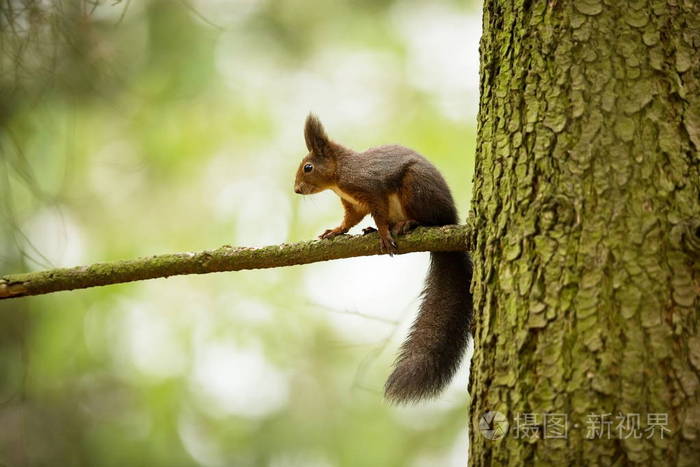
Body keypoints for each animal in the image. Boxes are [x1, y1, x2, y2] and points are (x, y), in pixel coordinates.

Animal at [292, 115, 474, 404]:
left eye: (308, 167)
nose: (297, 189)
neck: (340, 175)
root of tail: (451, 219)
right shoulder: (354, 204)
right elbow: (350, 220)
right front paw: (336, 231)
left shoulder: (370, 187)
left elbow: (378, 211)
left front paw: (383, 233)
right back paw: (374, 230)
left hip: (416, 188)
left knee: (430, 219)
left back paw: (406, 224)